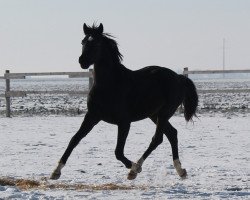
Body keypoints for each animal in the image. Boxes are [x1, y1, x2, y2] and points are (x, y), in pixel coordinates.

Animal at [50, 23, 198, 180]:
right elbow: (74, 139)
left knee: (157, 139)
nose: (82, 61)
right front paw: (56, 171)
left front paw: (133, 168)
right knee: (172, 134)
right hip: (155, 115)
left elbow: (118, 152)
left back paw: (136, 168)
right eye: (83, 42)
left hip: (164, 113)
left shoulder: (124, 122)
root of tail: (179, 77)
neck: (109, 84)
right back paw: (180, 170)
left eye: (96, 43)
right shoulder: (92, 116)